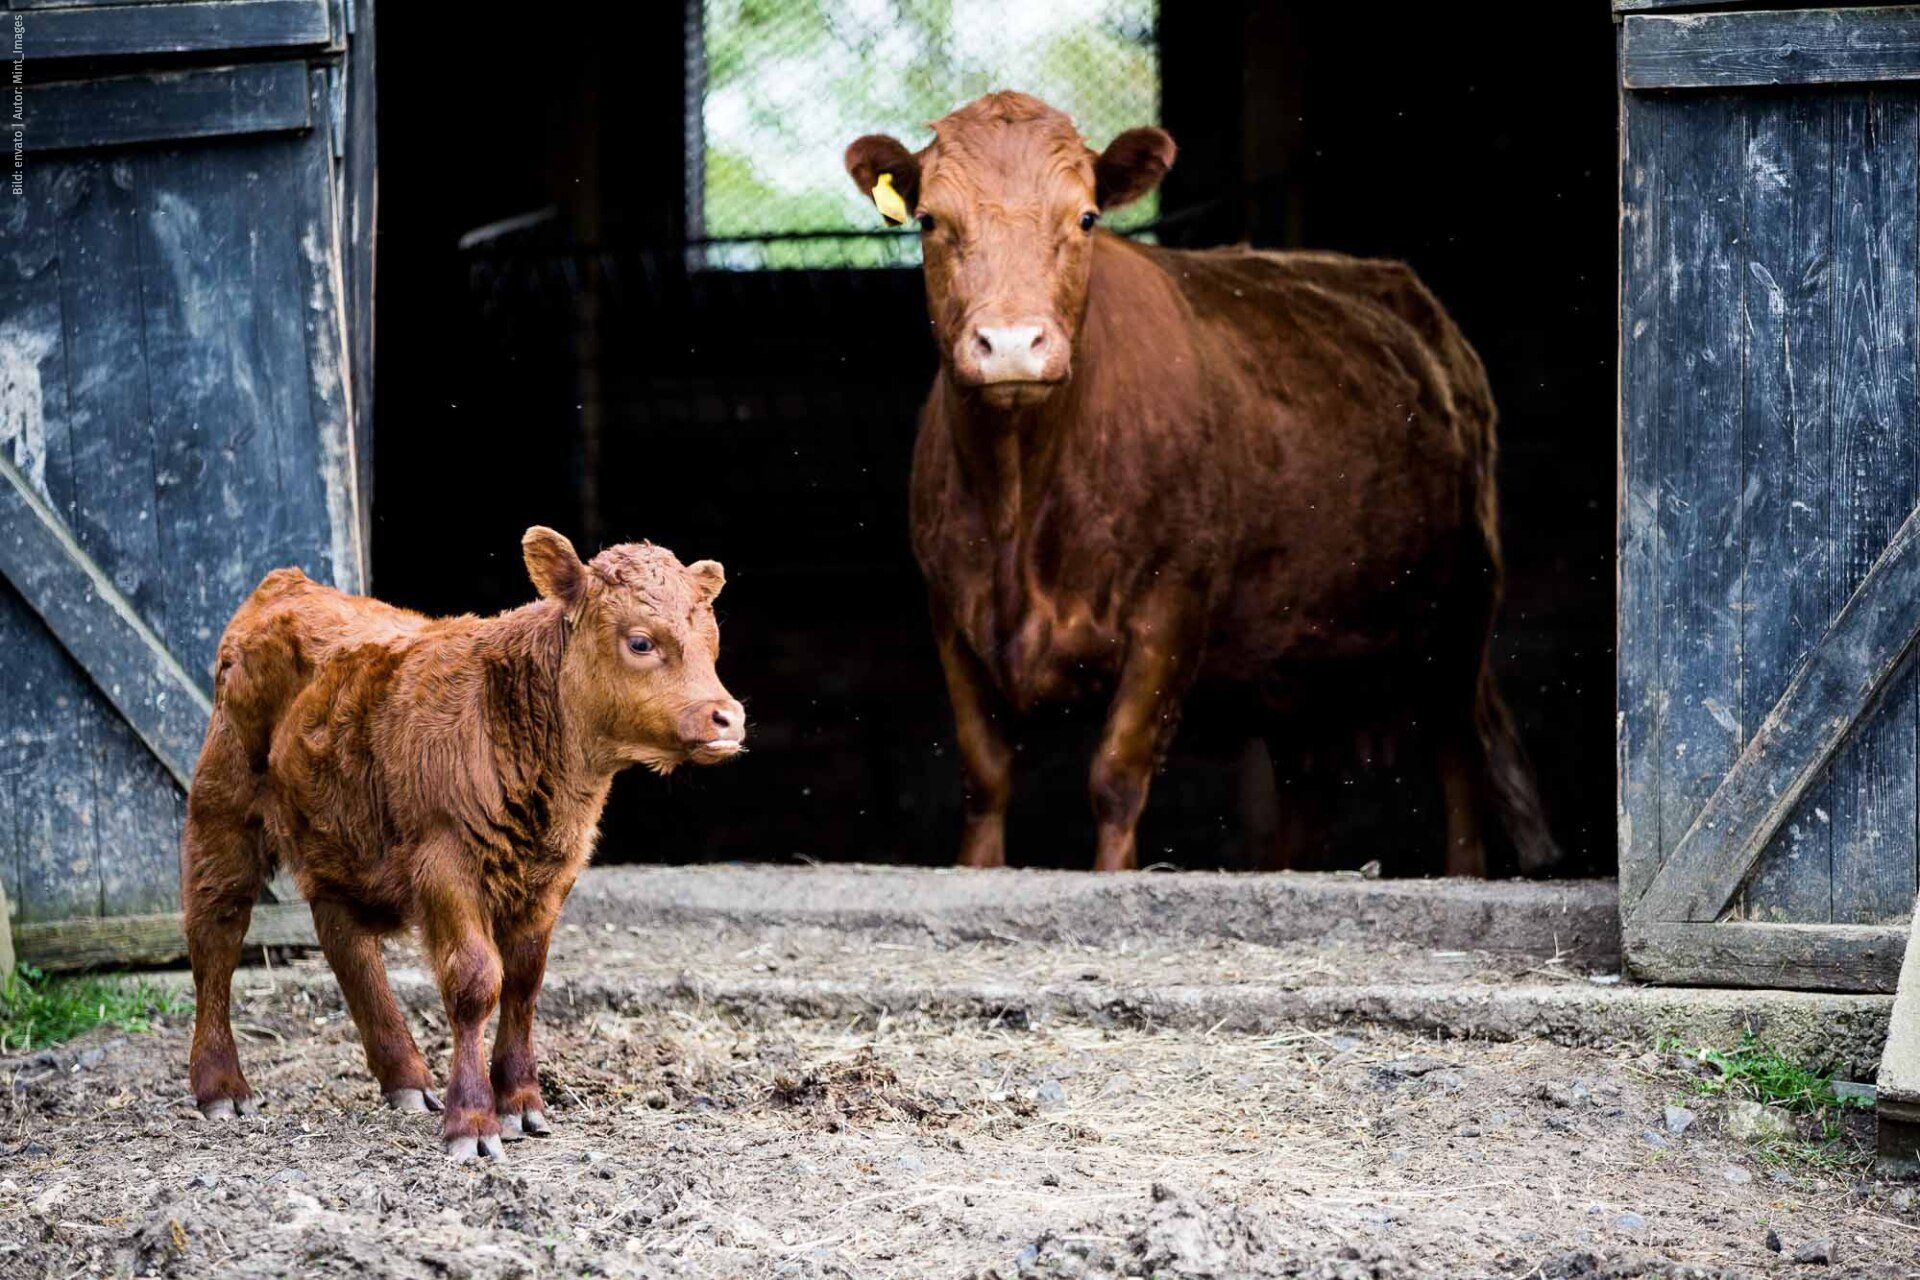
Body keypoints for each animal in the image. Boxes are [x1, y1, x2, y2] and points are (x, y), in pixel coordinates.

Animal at [181, 528, 744, 1160]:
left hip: (339, 834)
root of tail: (286, 583)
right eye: (641, 641)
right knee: (216, 932)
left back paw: (406, 1078)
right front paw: (472, 1119)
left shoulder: (551, 875)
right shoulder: (445, 862)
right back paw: (221, 1086)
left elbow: (523, 983)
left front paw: (521, 1101)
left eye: (712, 641)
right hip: (224, 807)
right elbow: (476, 982)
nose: (727, 717)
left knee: (345, 940)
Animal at [845, 91, 1557, 876]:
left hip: (1461, 613)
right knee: (1310, 782)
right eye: (930, 220)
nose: (1009, 345)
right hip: (1299, 656)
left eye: (1085, 217)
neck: (1018, 502)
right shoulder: (950, 611)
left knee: (1459, 756)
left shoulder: (1173, 605)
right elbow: (985, 778)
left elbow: (1116, 776)